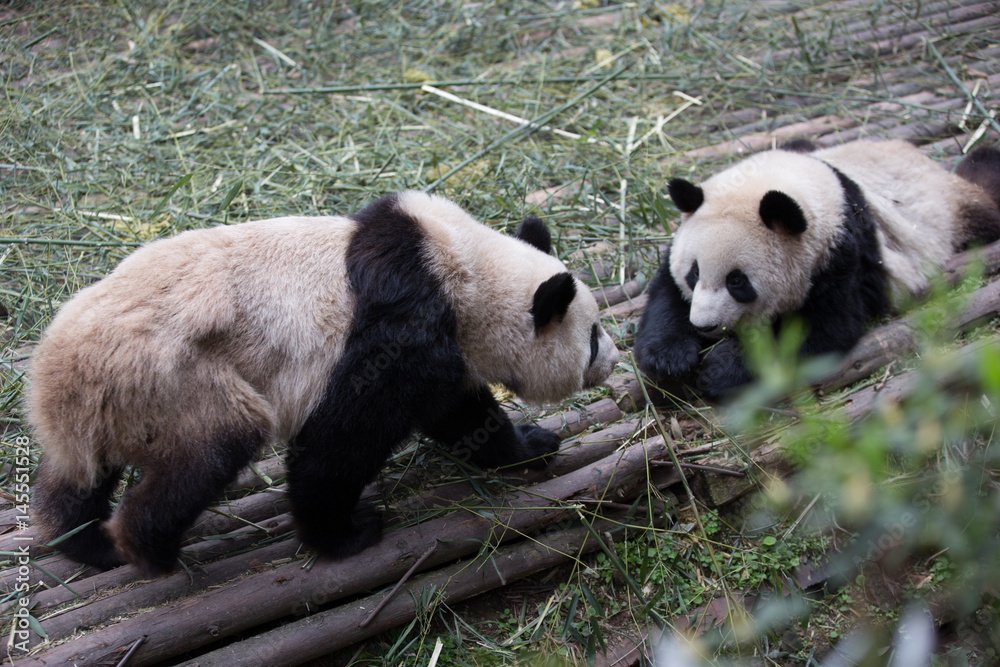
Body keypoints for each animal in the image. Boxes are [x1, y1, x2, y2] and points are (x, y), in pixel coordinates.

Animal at [27, 190, 616, 576]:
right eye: (592, 335)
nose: (612, 358)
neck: (466, 272)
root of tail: (53, 373)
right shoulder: (402, 327)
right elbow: (344, 438)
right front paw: (345, 533)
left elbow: (462, 415)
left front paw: (530, 445)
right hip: (175, 377)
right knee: (213, 447)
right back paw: (151, 552)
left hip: (104, 408)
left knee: (78, 475)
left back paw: (86, 542)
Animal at [636, 140, 1000, 402]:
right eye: (694, 273)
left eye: (737, 281)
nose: (705, 325)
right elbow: (666, 297)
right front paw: (670, 360)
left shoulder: (840, 258)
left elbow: (824, 330)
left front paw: (718, 368)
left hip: (953, 216)